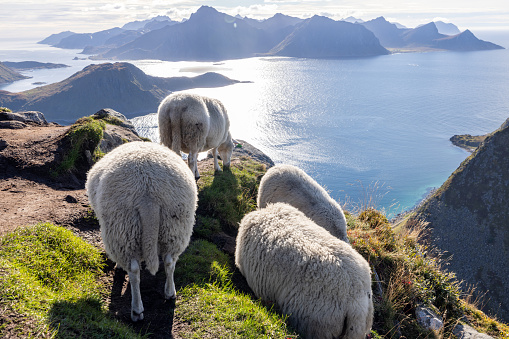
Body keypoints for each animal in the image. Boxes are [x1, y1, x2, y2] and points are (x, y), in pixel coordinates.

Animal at [85, 141, 196, 322]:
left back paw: (137, 310)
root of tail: (148, 194)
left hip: (123, 229)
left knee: (134, 270)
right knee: (169, 261)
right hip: (175, 226)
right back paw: (170, 293)